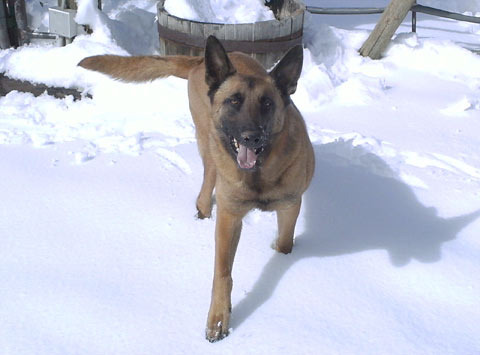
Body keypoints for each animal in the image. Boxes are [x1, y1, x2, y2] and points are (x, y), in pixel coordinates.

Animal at [78, 36, 316, 342]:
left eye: (266, 103)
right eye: (234, 101)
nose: (251, 137)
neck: (258, 176)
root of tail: (199, 61)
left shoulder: (290, 206)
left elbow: (285, 244)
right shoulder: (229, 217)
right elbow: (222, 273)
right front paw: (219, 318)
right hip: (208, 140)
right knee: (208, 178)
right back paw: (202, 210)